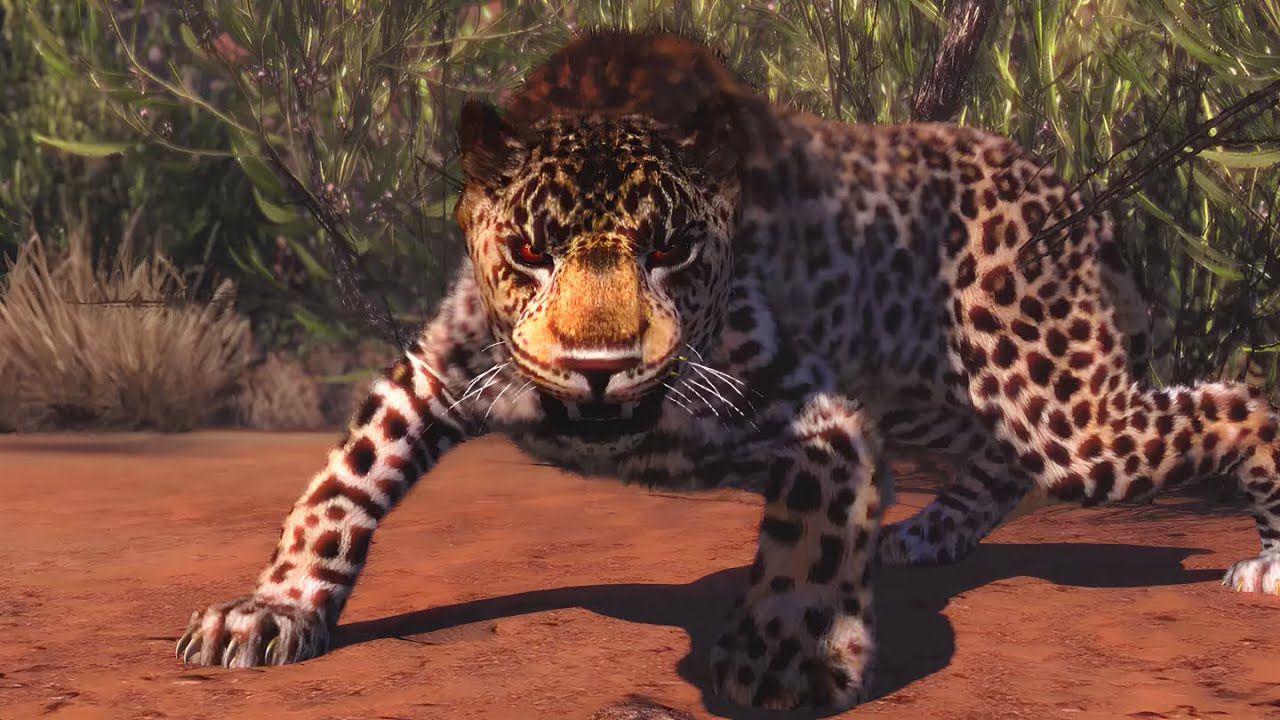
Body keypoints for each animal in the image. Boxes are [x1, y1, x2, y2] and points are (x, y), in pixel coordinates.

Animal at [175, 30, 1280, 711]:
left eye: (672, 251)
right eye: (530, 251)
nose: (598, 367)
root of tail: (1067, 191)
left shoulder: (818, 413)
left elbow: (808, 538)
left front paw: (786, 655)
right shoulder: (432, 374)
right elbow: (338, 486)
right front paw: (273, 609)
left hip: (1058, 404)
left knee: (1237, 399)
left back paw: (1265, 559)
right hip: (938, 388)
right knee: (994, 463)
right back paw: (921, 536)